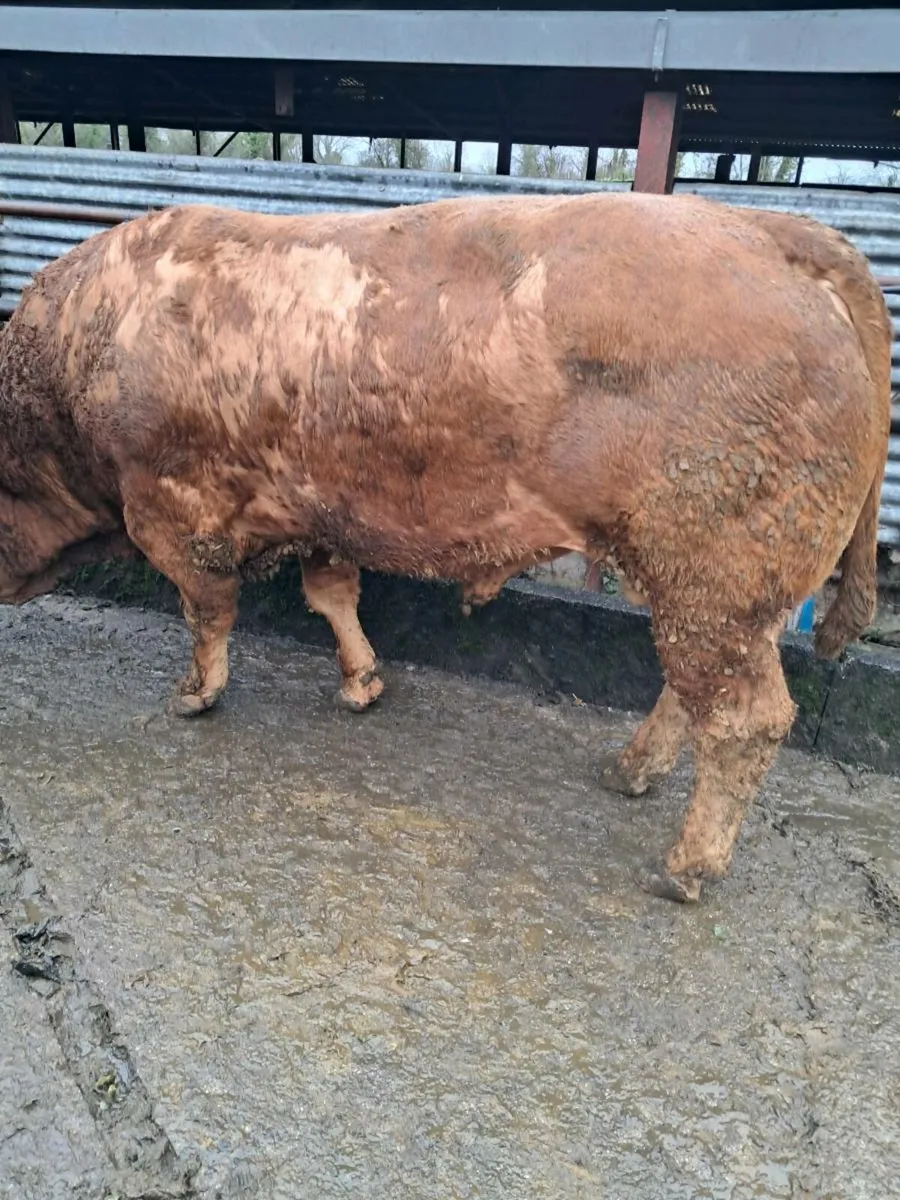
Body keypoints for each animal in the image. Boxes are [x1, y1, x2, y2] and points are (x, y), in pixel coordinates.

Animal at [0, 192, 891, 902]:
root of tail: (774, 231)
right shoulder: (323, 512)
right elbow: (332, 594)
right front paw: (362, 684)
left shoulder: (171, 508)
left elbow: (207, 609)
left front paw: (194, 695)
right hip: (709, 587)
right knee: (690, 691)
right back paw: (628, 771)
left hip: (716, 571)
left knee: (744, 718)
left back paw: (685, 867)